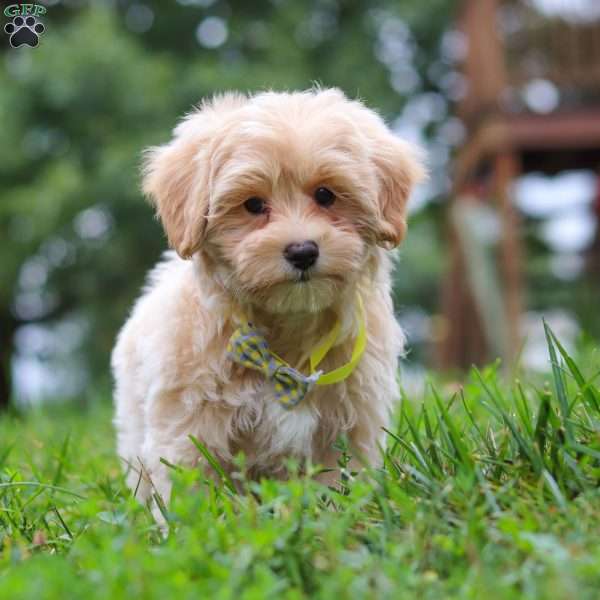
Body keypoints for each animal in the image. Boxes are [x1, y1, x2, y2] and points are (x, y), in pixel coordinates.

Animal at [111, 86, 422, 506]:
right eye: (253, 204)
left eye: (326, 195)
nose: (302, 251)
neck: (287, 328)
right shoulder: (189, 427)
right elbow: (195, 491)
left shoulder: (350, 424)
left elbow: (340, 485)